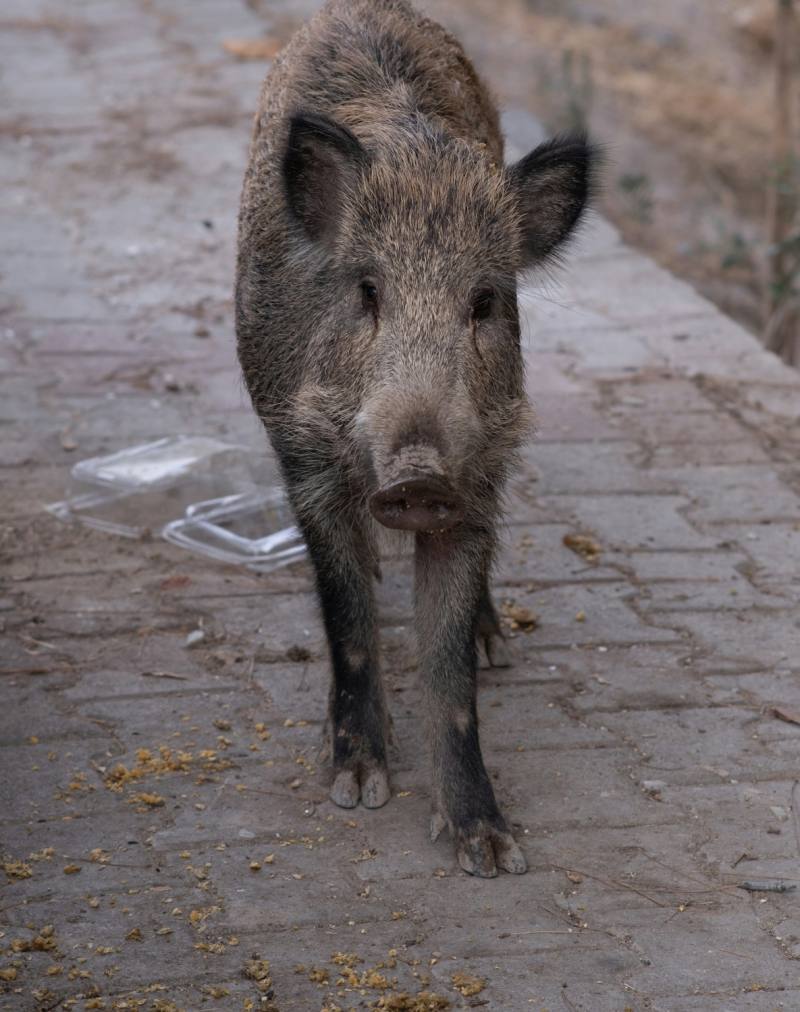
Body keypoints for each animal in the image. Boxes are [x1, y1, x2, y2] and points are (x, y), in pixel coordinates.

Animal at [236, 0, 596, 877]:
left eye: (486, 301)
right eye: (368, 292)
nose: (419, 474)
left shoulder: (478, 482)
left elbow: (451, 668)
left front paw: (491, 853)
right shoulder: (303, 459)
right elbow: (347, 616)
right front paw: (358, 788)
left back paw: (499, 644)